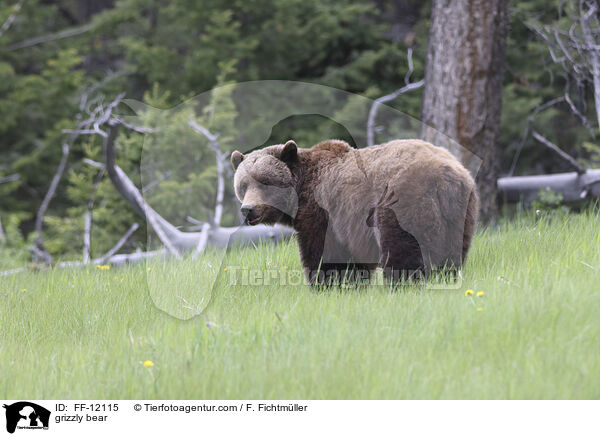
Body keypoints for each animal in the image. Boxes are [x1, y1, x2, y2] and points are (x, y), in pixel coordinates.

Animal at [230, 138, 478, 284]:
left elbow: (326, 255)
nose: (248, 209)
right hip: (460, 212)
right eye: (243, 185)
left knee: (401, 248)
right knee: (452, 253)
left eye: (264, 182)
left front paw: (326, 284)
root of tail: (446, 176)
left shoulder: (323, 214)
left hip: (404, 201)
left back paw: (402, 284)